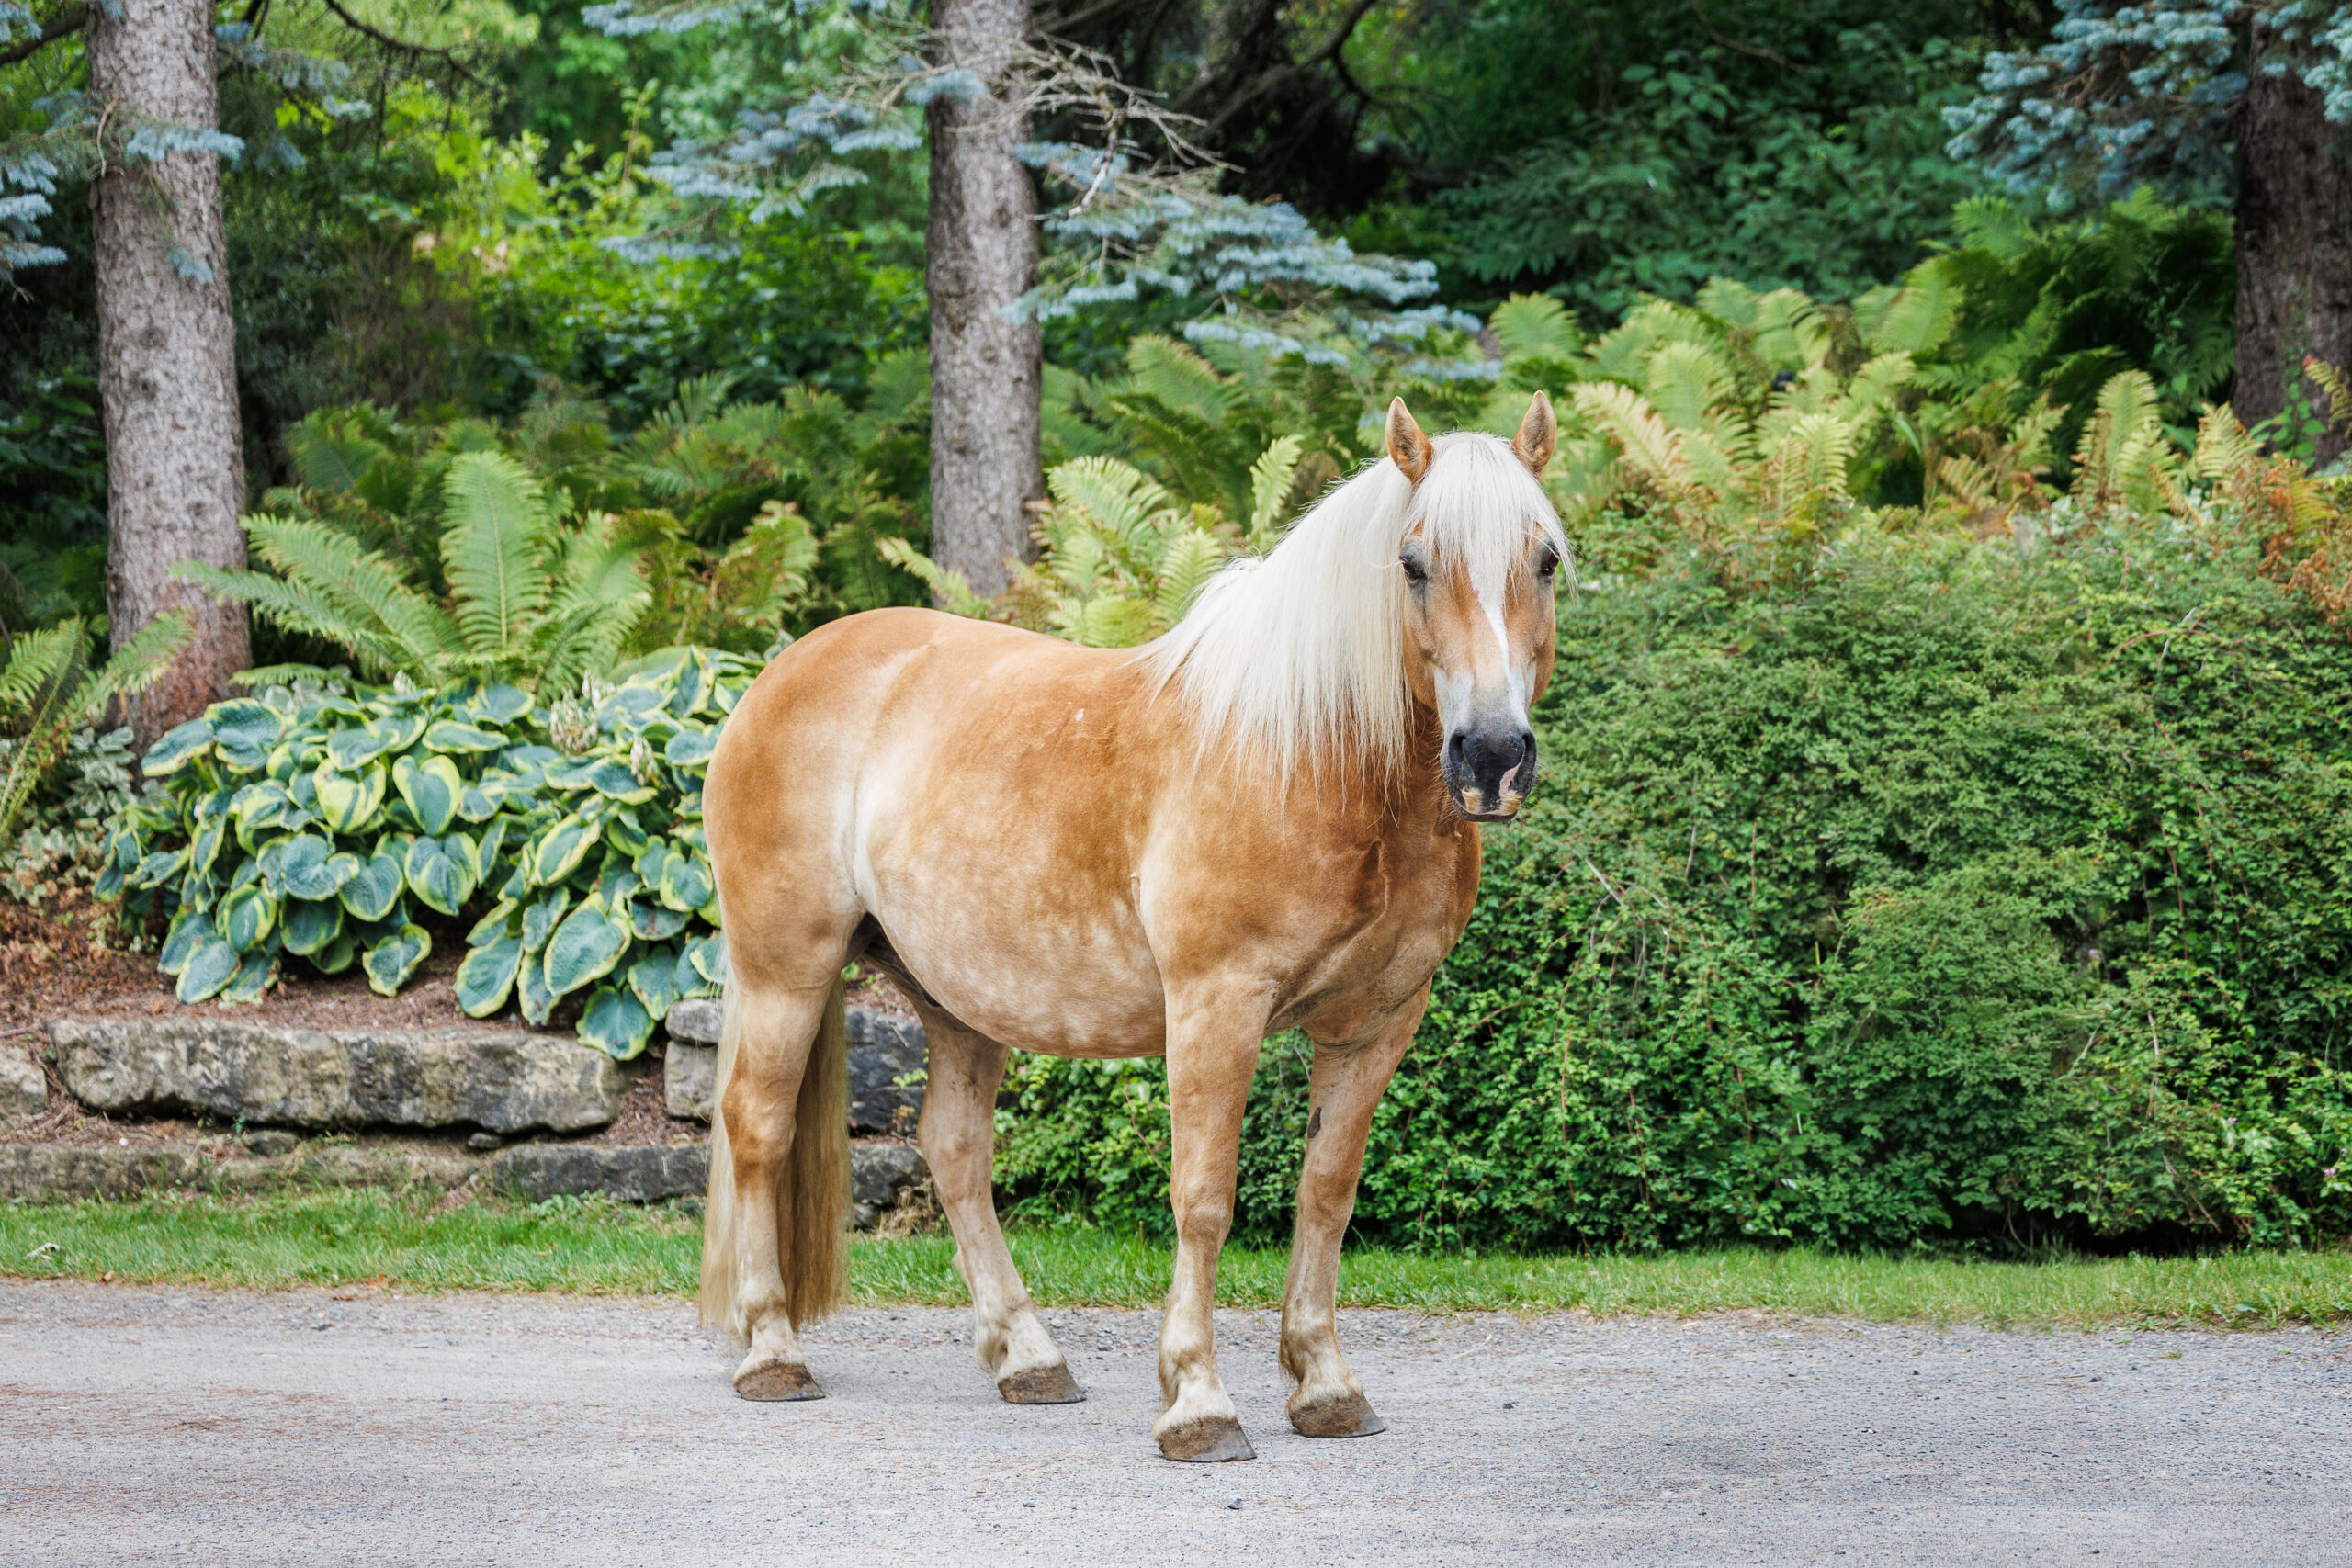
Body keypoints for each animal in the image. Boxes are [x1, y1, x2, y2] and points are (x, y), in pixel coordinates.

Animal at [698, 392, 1567, 1462]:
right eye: (1412, 563)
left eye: (1544, 559)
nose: (1490, 754)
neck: (1310, 757)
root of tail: (780, 672)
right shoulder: (1214, 1006)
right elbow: (1203, 1198)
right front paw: (1198, 1400)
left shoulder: (1378, 1022)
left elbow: (1326, 1191)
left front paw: (1324, 1383)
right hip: (788, 969)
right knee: (757, 1128)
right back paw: (772, 1352)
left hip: (954, 999)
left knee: (953, 1151)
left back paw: (1028, 1357)